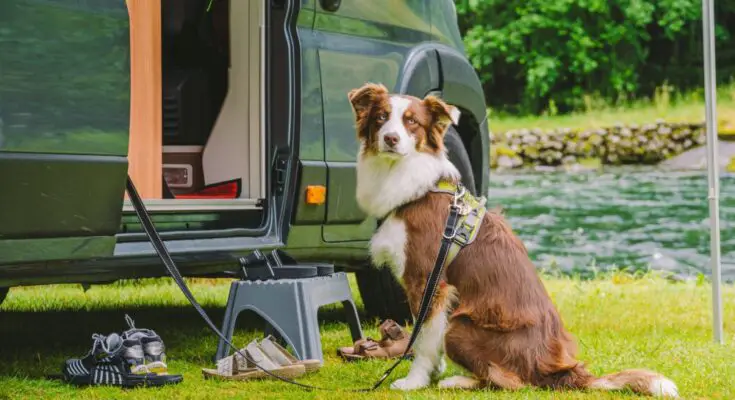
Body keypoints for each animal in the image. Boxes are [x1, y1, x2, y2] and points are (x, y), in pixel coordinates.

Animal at [348, 83, 680, 398]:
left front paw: (415, 381)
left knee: (511, 382)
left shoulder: (428, 280)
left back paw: (459, 381)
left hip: (460, 325)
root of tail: (558, 370)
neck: (414, 184)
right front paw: (432, 373)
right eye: (381, 118)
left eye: (412, 122)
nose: (391, 139)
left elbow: (422, 340)